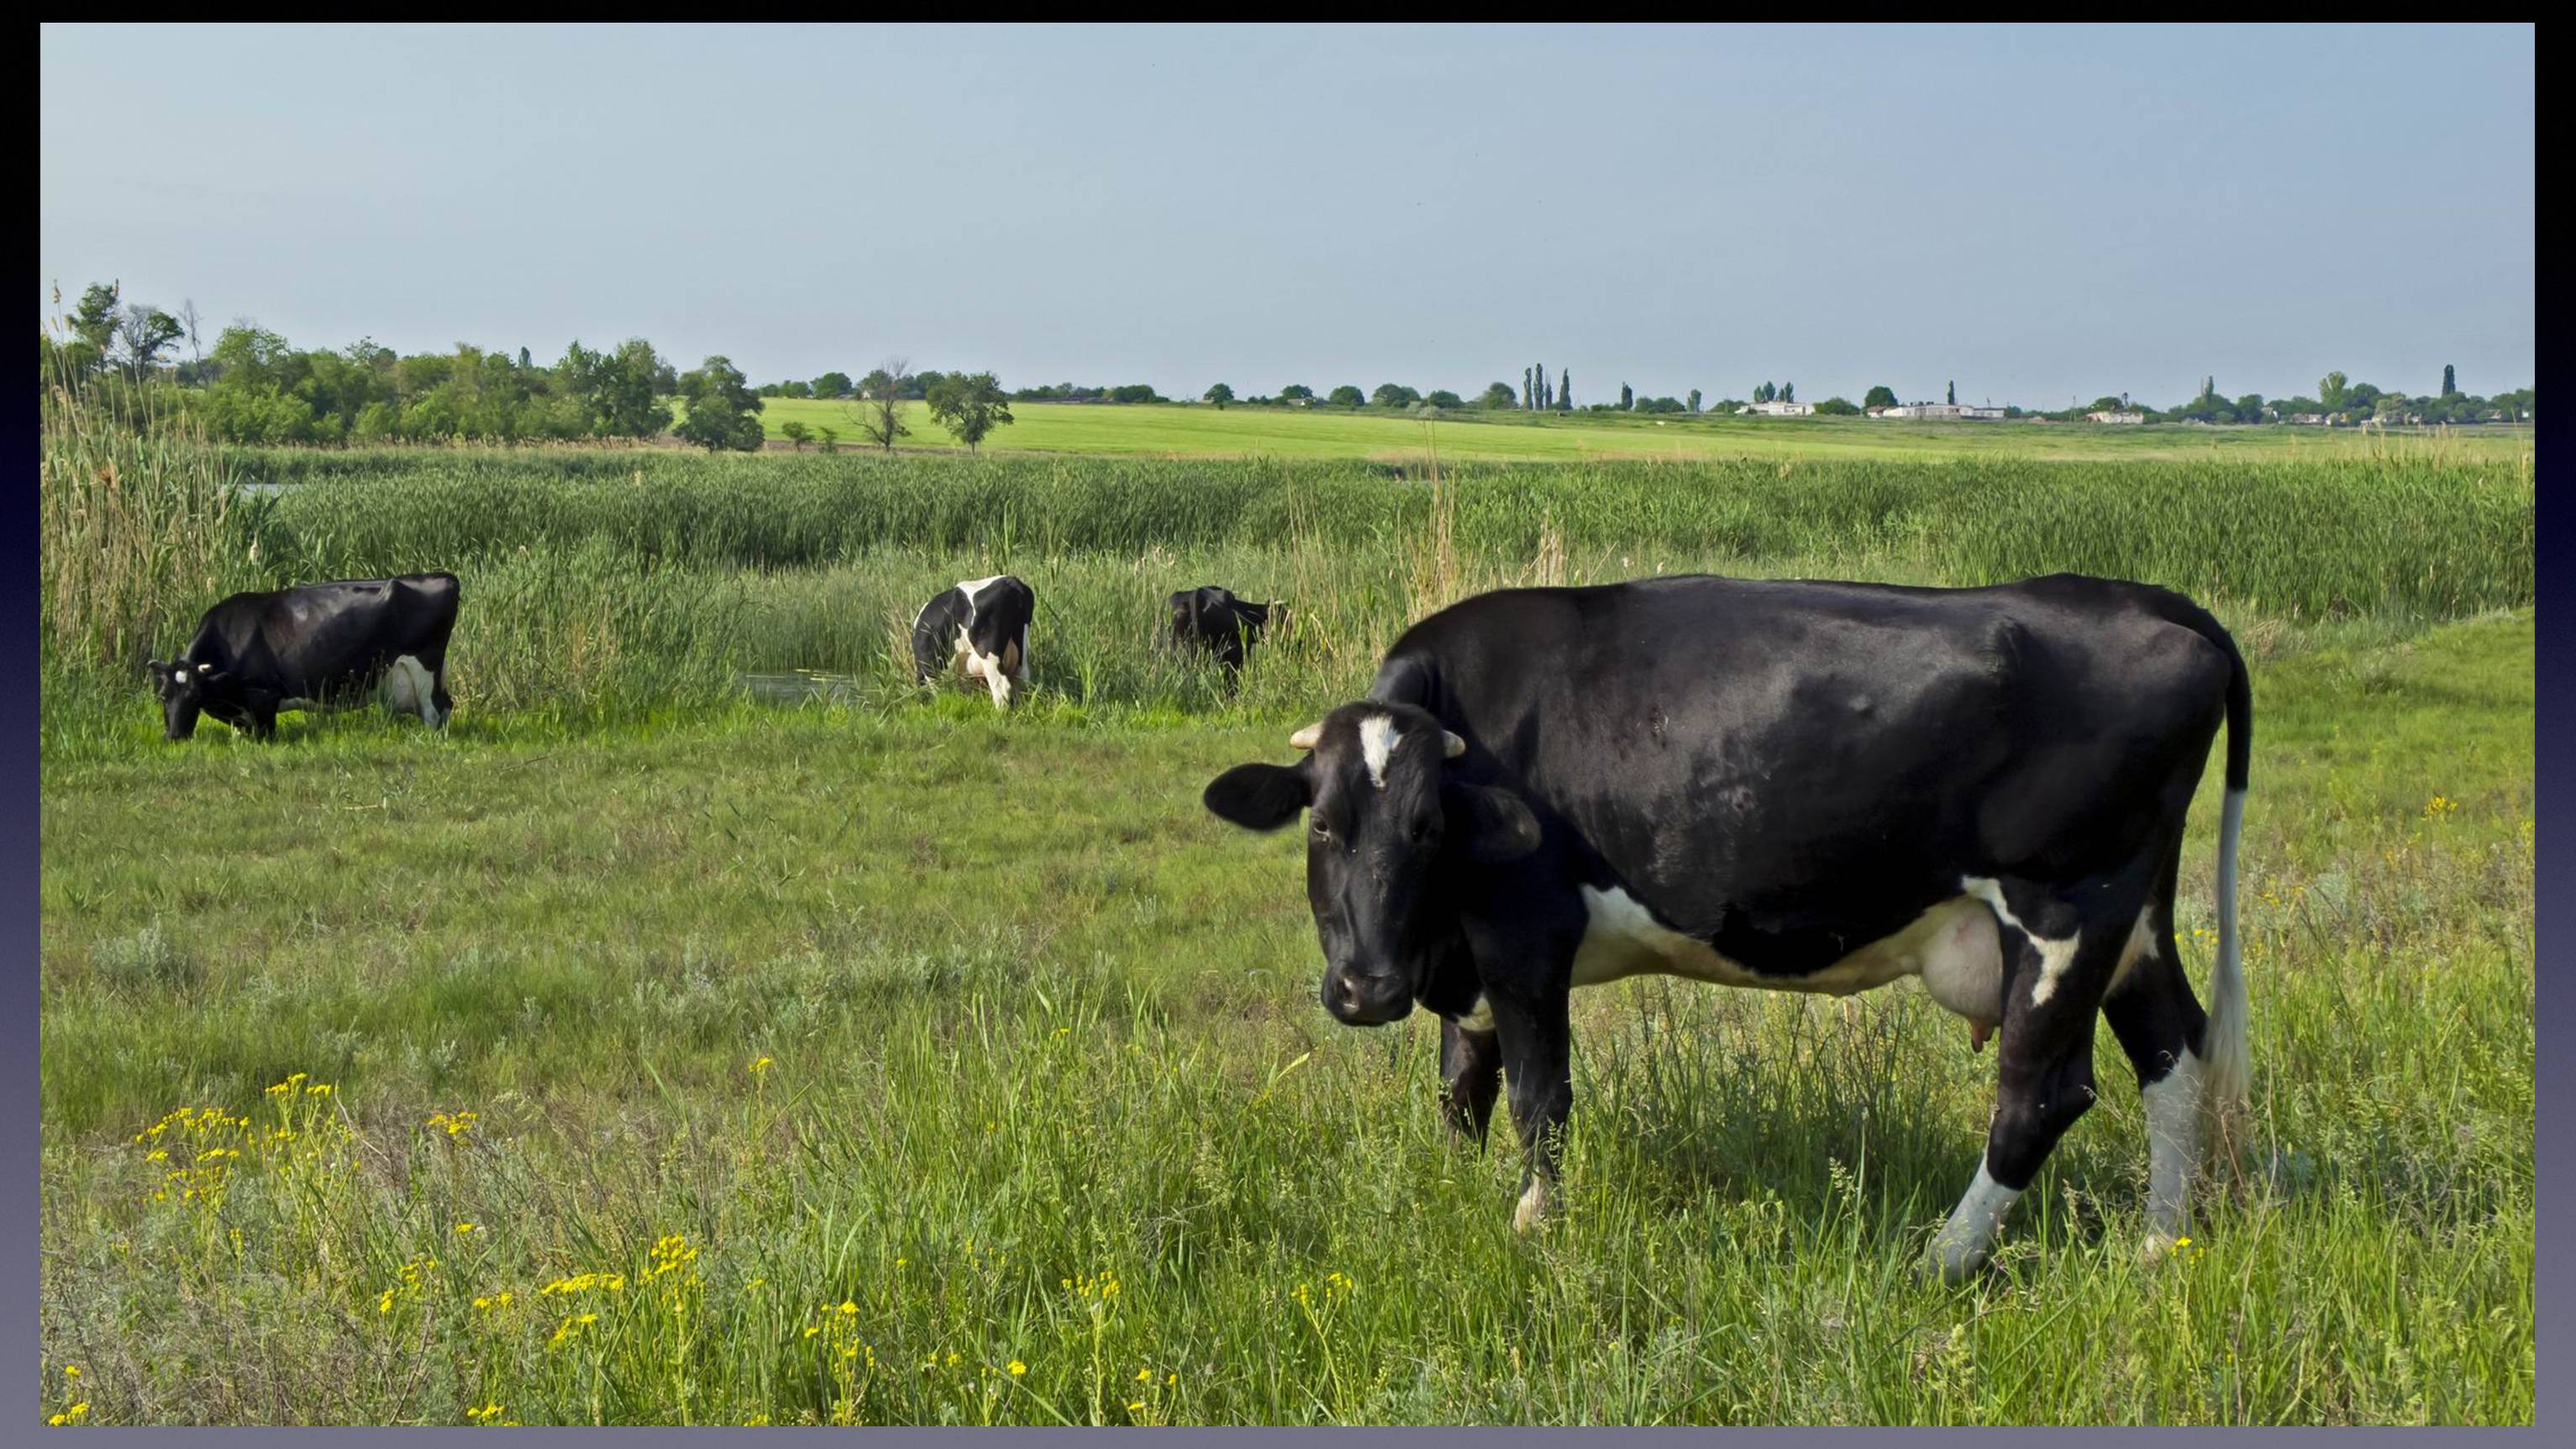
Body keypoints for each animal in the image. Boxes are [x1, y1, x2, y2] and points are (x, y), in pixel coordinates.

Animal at [146, 574, 460, 741]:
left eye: (194, 696)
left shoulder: (262, 695)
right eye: (163, 696)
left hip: (424, 669)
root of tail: (443, 577)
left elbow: (265, 735)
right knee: (446, 704)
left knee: (434, 710)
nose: (174, 736)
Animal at [907, 579, 1025, 715]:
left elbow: (939, 693)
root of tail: (1010, 581)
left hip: (987, 655)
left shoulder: (930, 667)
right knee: (1021, 680)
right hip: (1021, 649)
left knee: (1002, 687)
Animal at [1195, 574, 2246, 1286]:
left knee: (2041, 1094)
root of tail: (2138, 600)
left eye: (1428, 828)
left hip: (2066, 909)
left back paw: (1934, 1263)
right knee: (2172, 1050)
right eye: (1322, 825)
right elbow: (1462, 1086)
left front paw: (1534, 1224)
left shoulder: (1525, 934)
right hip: (2134, 922)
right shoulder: (1469, 959)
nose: (1365, 990)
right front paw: (1452, 1195)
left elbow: (1538, 1094)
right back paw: (2159, 1245)